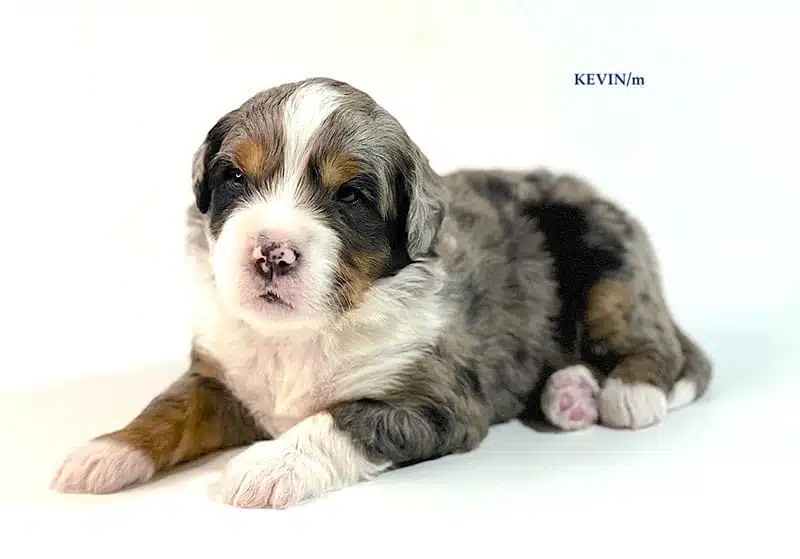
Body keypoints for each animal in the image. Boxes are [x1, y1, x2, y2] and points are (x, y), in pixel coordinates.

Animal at [50, 76, 712, 510]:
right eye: (234, 175)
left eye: (351, 195)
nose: (271, 253)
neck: (305, 333)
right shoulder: (220, 376)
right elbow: (169, 409)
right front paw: (104, 452)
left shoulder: (436, 400)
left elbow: (341, 419)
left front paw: (268, 464)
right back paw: (569, 395)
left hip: (609, 261)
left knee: (651, 344)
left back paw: (627, 393)